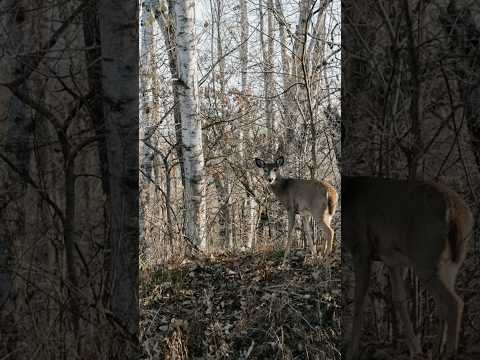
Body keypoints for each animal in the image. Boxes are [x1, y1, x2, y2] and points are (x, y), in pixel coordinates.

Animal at [344, 176, 474, 360]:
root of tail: (456, 213)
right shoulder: (393, 260)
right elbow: (399, 299)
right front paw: (415, 349)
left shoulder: (361, 247)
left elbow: (359, 299)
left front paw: (351, 352)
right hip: (451, 261)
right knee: (444, 304)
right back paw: (435, 352)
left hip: (426, 258)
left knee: (454, 302)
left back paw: (449, 353)